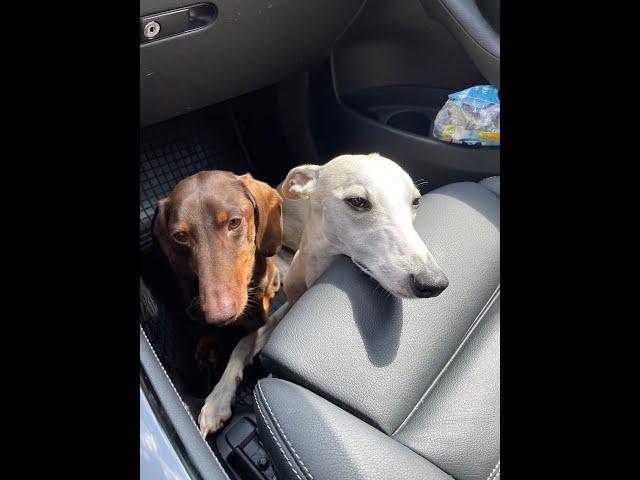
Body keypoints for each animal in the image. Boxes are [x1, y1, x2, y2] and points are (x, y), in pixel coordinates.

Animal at [198, 153, 448, 436]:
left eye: (415, 201)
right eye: (357, 201)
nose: (434, 283)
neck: (317, 267)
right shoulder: (290, 305)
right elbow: (244, 342)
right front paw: (217, 401)